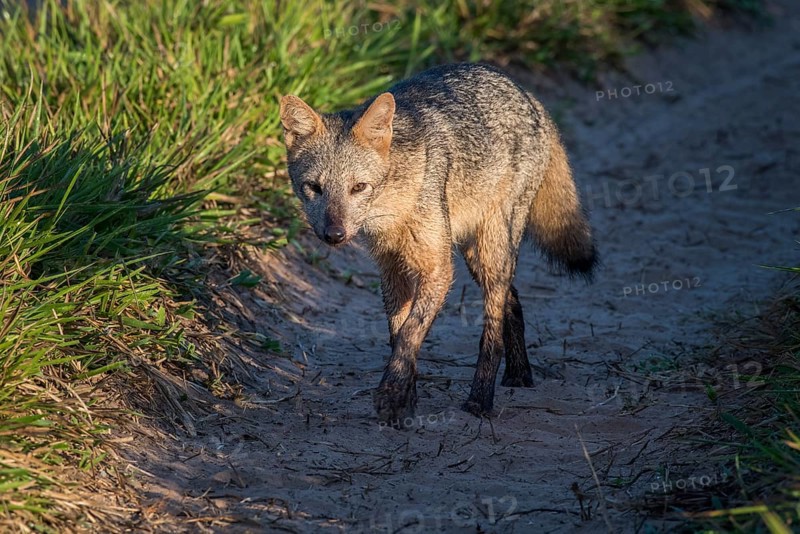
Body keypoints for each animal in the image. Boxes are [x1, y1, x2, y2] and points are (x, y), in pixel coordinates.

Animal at [279, 63, 596, 423]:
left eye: (358, 187)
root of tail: (526, 92)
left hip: (491, 251)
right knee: (512, 301)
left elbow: (410, 334)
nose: (334, 235)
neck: (392, 209)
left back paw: (480, 399)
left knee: (493, 329)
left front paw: (391, 396)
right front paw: (407, 397)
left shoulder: (438, 268)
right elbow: (398, 336)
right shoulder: (392, 270)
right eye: (314, 188)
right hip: (476, 256)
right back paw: (519, 375)